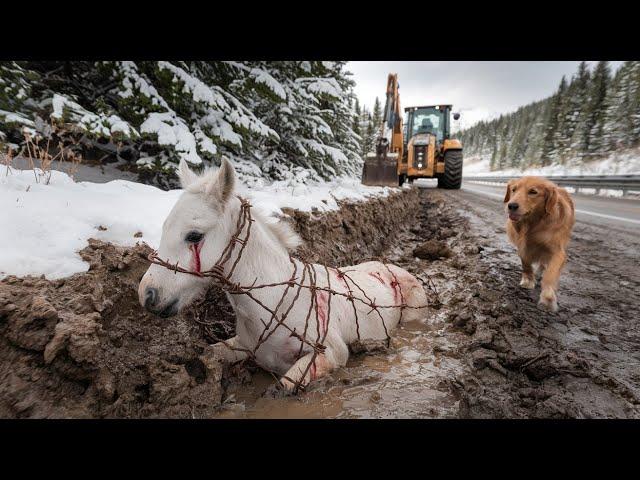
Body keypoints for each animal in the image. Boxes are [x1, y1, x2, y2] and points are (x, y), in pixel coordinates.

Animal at [140, 159, 430, 392]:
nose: (147, 294)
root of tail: (395, 268)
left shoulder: (331, 353)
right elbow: (211, 353)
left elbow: (282, 389)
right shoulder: (242, 345)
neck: (273, 301)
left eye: (194, 235)